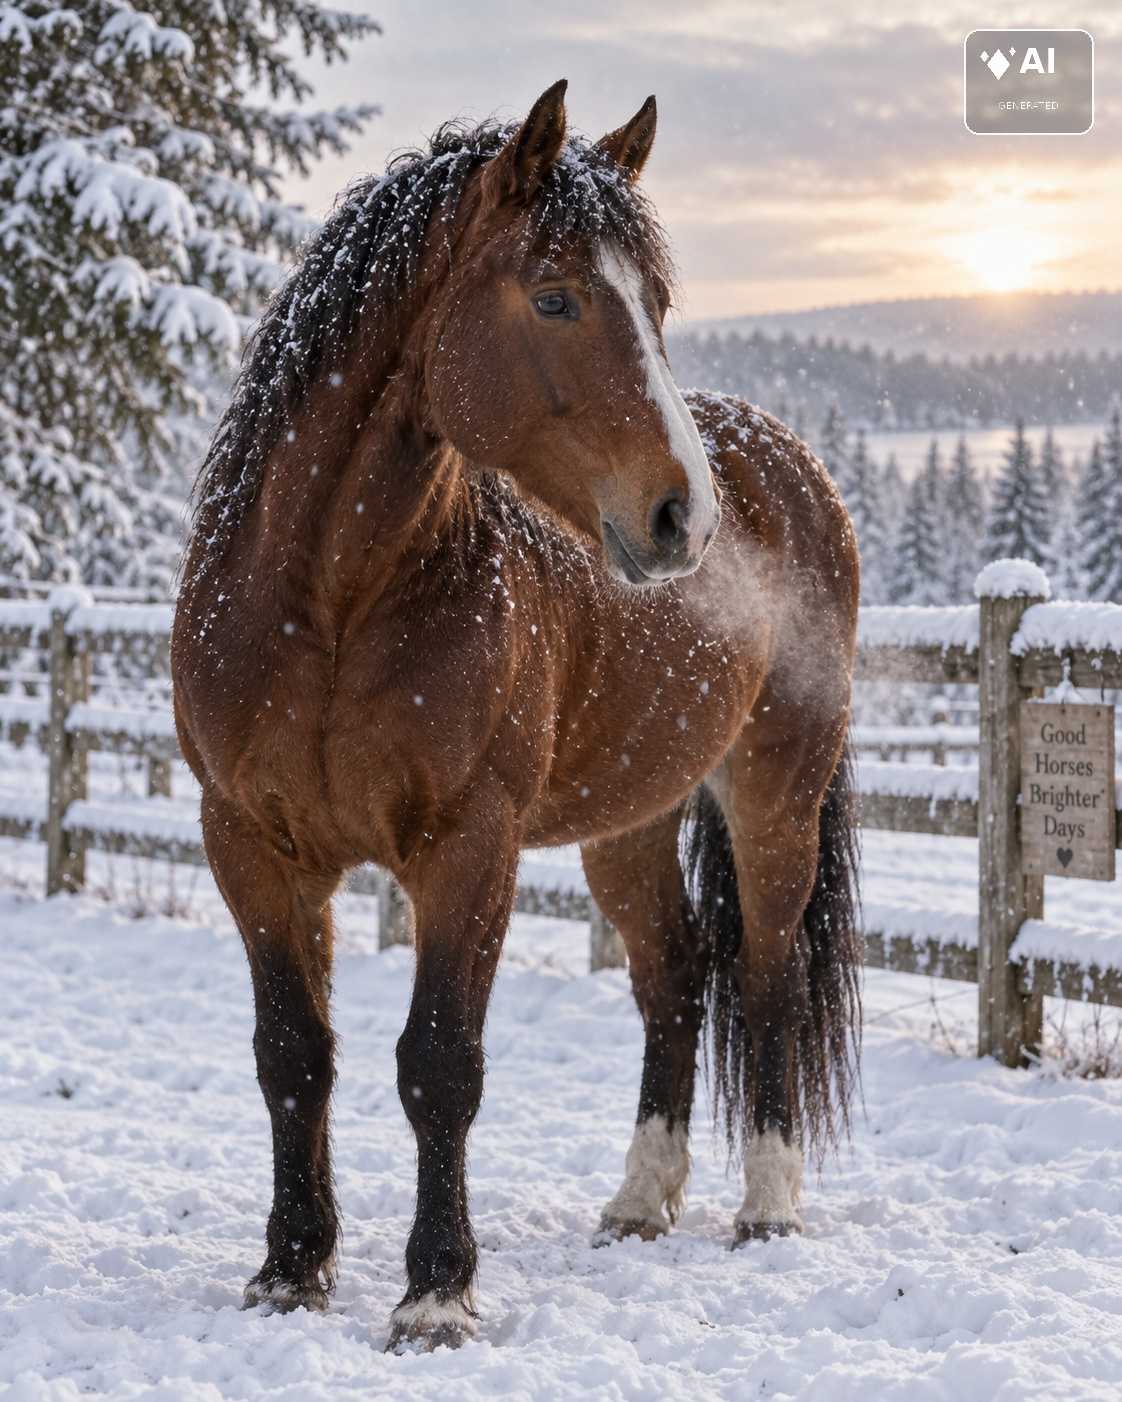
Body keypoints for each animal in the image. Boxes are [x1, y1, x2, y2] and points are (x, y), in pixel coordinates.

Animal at [171, 80, 862, 1352]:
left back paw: (768, 1205)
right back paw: (641, 1200)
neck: (332, 604)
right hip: (627, 820)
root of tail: (790, 468)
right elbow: (294, 1054)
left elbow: (441, 1063)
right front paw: (290, 1269)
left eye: (656, 301)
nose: (682, 517)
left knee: (767, 972)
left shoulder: (469, 848)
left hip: (775, 793)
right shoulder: (249, 843)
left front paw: (437, 1292)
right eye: (554, 295)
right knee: (676, 971)